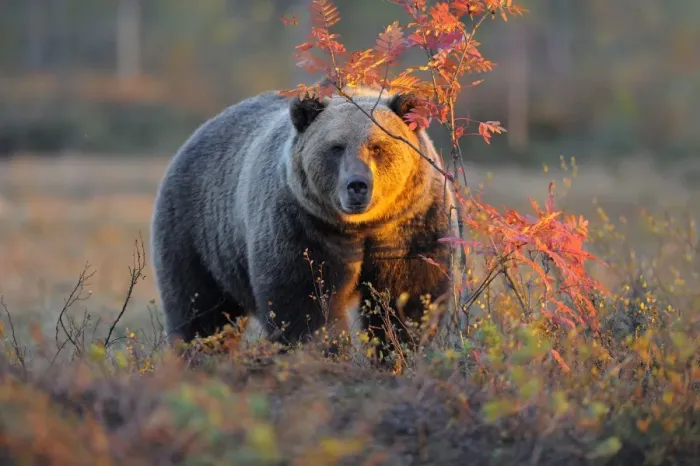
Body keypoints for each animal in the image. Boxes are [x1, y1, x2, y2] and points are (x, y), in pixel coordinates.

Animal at [150, 83, 465, 352]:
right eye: (336, 147)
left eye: (377, 146)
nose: (357, 185)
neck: (362, 227)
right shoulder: (303, 225)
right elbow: (306, 299)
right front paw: (325, 349)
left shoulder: (410, 225)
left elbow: (409, 294)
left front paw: (396, 349)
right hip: (198, 233)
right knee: (199, 309)